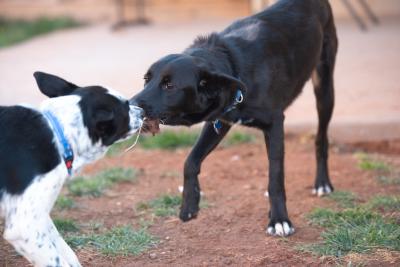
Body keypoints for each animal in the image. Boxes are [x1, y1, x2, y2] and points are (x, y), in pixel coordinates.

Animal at [0, 72, 144, 266]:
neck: (57, 133)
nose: (143, 111)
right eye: (127, 106)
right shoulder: (24, 226)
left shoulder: (36, 213)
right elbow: (56, 260)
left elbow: (65, 249)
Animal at [131, 0, 338, 239]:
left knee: (321, 138)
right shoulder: (220, 121)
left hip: (324, 89)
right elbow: (190, 161)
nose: (130, 105)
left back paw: (322, 183)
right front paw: (190, 205)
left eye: (169, 85)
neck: (235, 67)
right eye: (146, 79)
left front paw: (279, 220)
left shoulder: (275, 123)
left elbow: (275, 177)